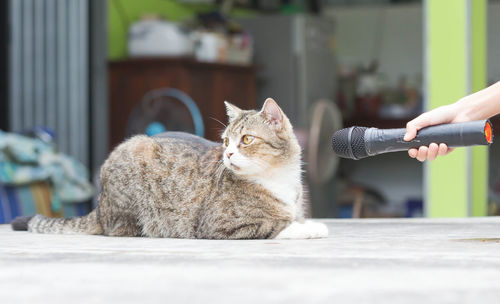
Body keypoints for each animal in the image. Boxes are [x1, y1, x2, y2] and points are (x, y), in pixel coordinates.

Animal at [10, 98, 328, 239]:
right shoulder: (220, 224)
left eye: (247, 139)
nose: (227, 153)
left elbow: (292, 217)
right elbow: (276, 225)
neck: (277, 177)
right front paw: (311, 228)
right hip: (134, 156)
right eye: (226, 140)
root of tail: (100, 206)